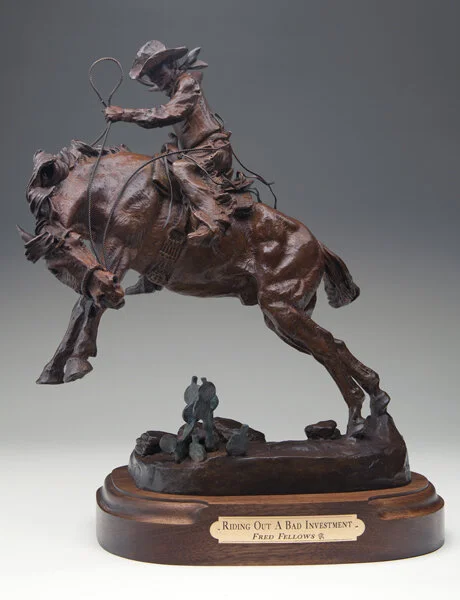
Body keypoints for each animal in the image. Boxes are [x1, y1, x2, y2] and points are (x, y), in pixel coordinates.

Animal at [18, 140, 390, 436]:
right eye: (56, 261)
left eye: (67, 245)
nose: (115, 294)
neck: (113, 187)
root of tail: (318, 246)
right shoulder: (107, 265)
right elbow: (81, 306)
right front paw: (53, 369)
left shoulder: (118, 252)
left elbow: (88, 306)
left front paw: (77, 362)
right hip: (282, 317)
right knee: (332, 345)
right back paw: (375, 398)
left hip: (282, 309)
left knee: (326, 346)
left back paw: (357, 418)